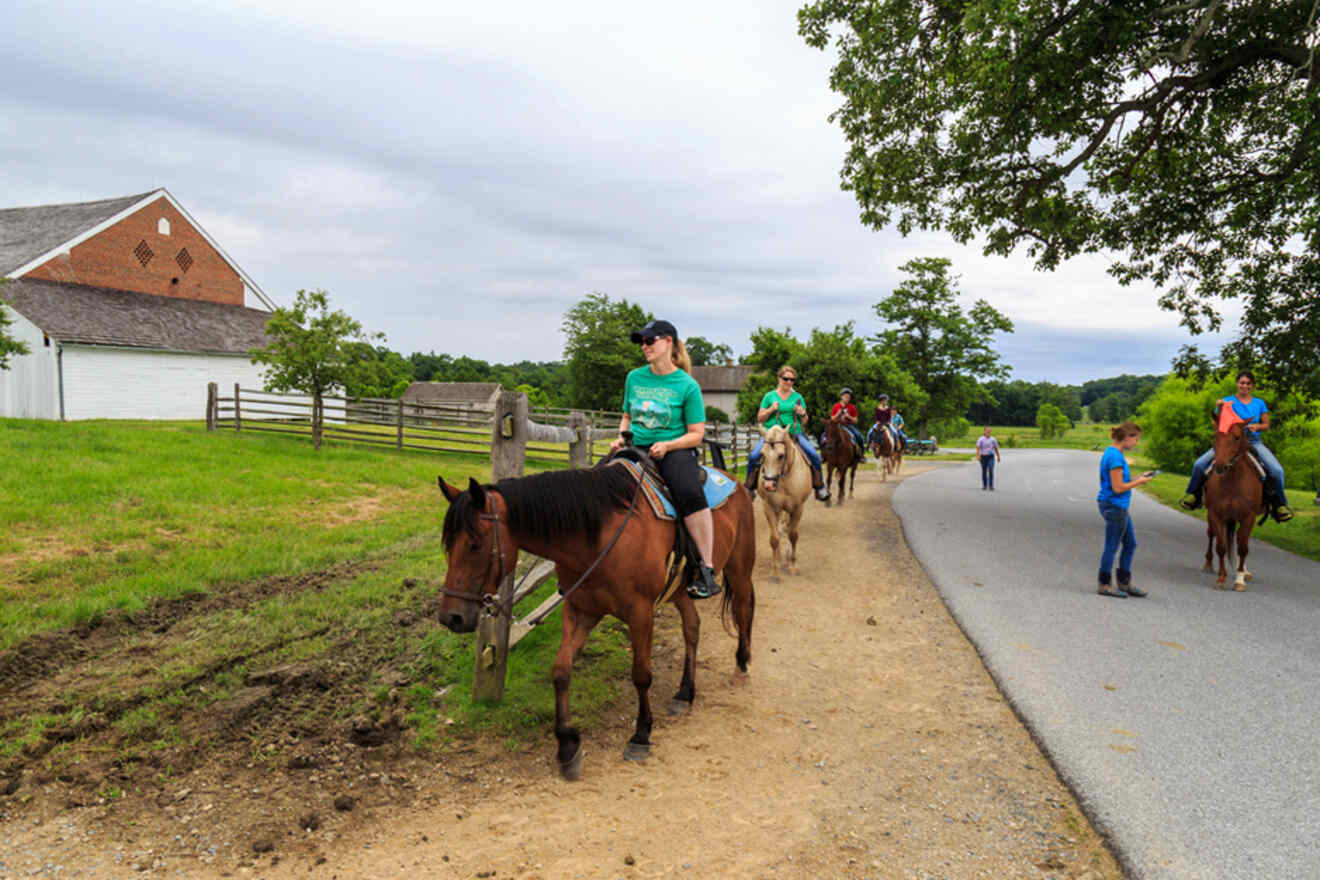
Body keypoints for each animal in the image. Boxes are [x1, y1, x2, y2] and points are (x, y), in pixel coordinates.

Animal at [440, 464, 760, 781]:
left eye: (474, 545)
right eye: (448, 545)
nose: (451, 617)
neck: (598, 536)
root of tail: (735, 482)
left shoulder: (640, 613)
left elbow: (641, 675)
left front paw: (640, 735)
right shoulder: (580, 611)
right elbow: (561, 672)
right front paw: (567, 746)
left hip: (739, 570)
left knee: (743, 611)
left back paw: (741, 666)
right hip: (680, 591)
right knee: (692, 627)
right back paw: (684, 693)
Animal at [755, 427, 813, 577]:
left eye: (781, 455)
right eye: (762, 454)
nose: (768, 485)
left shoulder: (798, 508)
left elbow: (793, 535)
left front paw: (792, 565)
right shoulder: (769, 508)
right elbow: (774, 538)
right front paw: (775, 569)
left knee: (787, 529)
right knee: (781, 529)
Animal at [1203, 422, 1261, 591]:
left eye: (1237, 437)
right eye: (1215, 435)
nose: (1220, 466)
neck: (1233, 482)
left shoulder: (1249, 517)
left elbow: (1242, 548)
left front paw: (1239, 580)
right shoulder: (1215, 514)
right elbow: (1221, 547)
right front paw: (1221, 579)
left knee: (1240, 540)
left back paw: (1244, 572)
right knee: (1211, 535)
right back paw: (1208, 564)